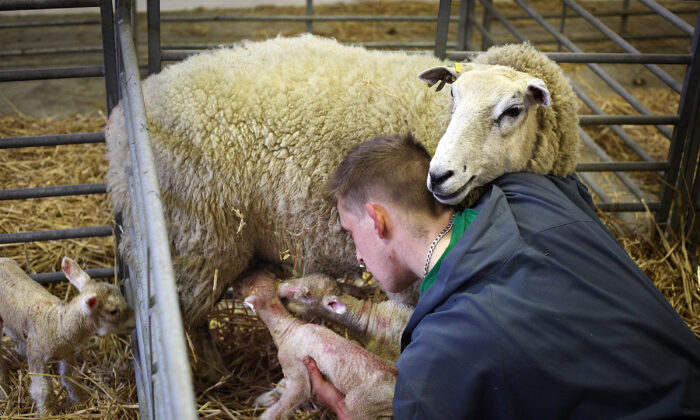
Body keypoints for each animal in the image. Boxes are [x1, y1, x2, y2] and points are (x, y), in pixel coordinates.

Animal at [0, 256, 136, 414]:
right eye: (113, 311)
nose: (135, 319)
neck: (57, 323)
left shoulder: (67, 353)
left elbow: (71, 378)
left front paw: (79, 402)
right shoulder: (36, 355)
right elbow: (42, 390)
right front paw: (45, 413)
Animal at [241, 270, 396, 418]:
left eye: (250, 285)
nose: (246, 275)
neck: (289, 327)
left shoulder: (294, 366)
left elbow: (291, 399)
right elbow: (280, 385)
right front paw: (263, 399)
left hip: (363, 405)